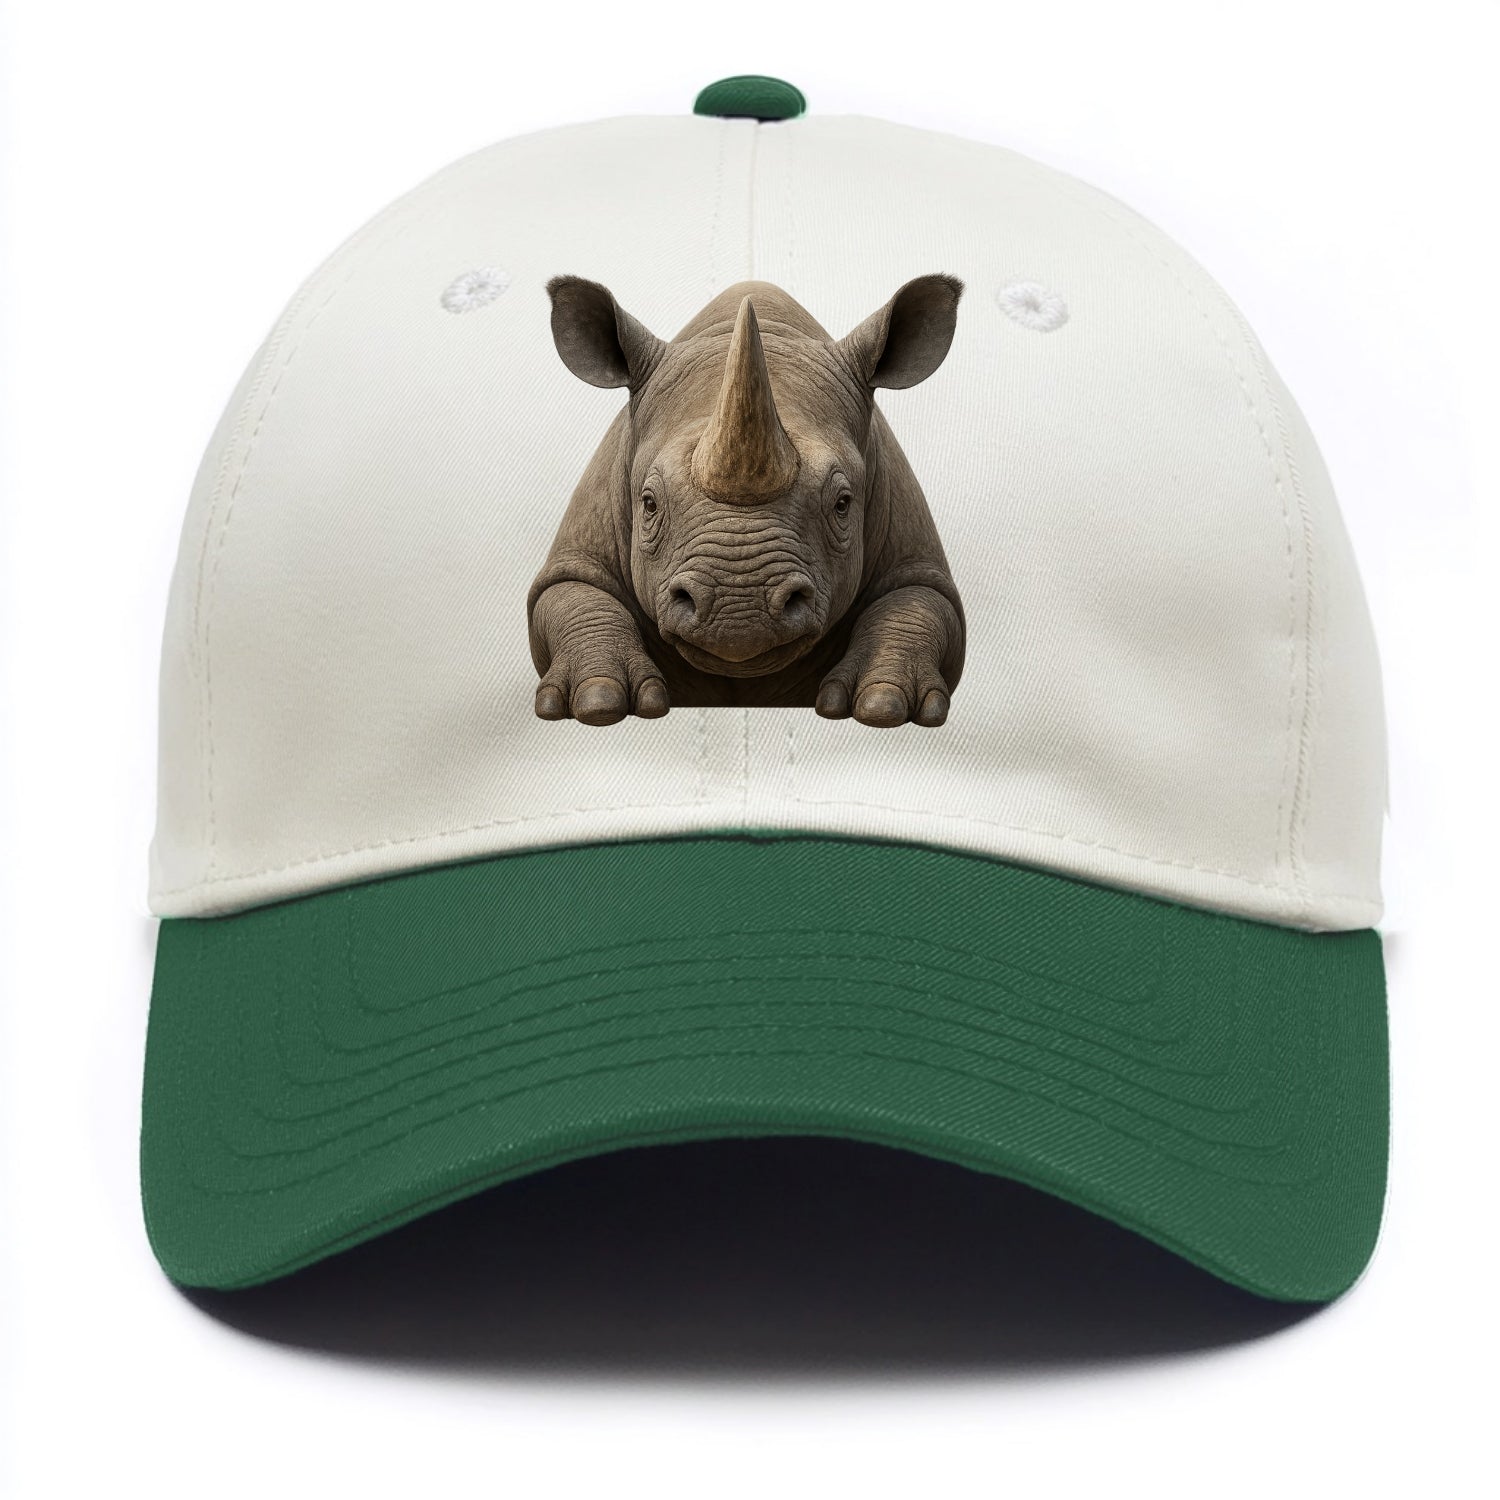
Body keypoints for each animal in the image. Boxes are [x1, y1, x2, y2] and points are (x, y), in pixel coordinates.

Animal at [527, 273, 967, 728]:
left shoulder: (913, 553)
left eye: (843, 504)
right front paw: (598, 702)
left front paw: (884, 706)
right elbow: (573, 594)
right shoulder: (580, 550)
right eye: (648, 503)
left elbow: (917, 602)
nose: (739, 611)